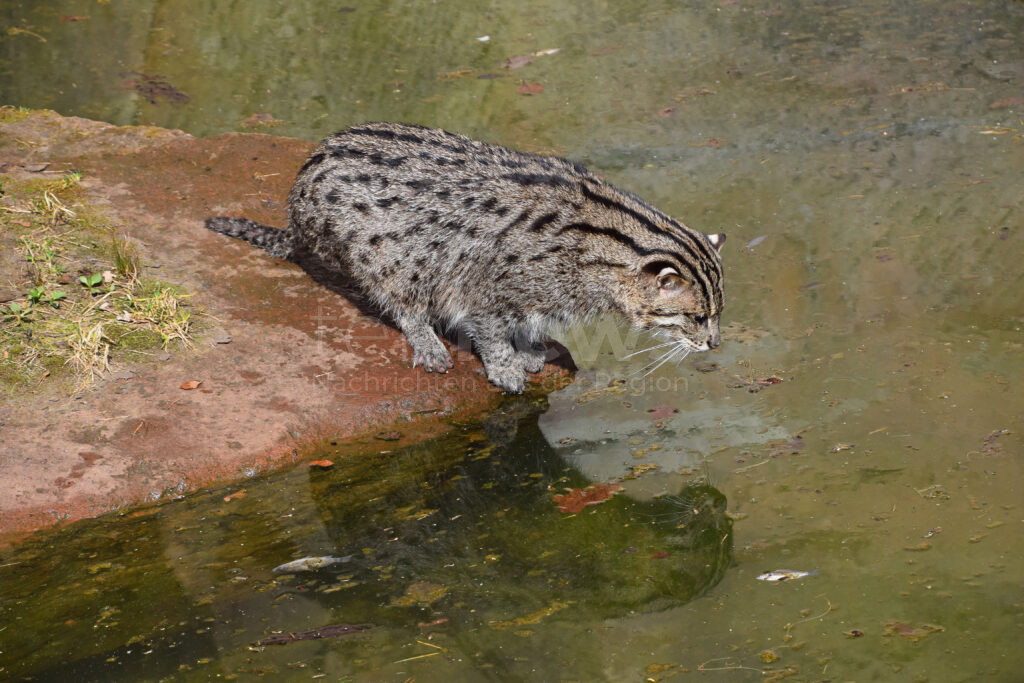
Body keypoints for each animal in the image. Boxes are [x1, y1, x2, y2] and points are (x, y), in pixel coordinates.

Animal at [203, 120, 724, 393]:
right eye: (697, 318)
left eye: (718, 314)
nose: (715, 344)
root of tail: (296, 204)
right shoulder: (487, 284)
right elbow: (491, 329)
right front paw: (506, 363)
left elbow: (527, 323)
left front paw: (530, 348)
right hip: (391, 255)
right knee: (402, 301)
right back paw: (427, 338)